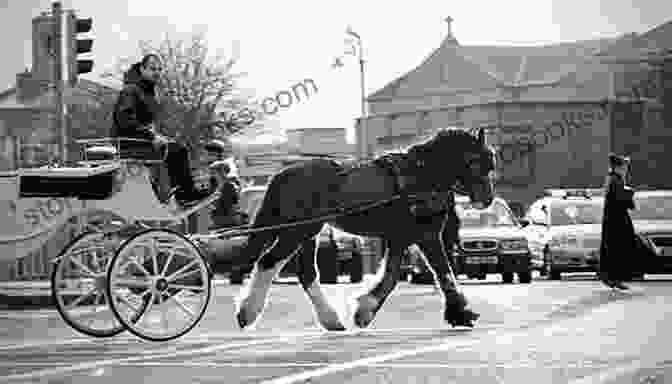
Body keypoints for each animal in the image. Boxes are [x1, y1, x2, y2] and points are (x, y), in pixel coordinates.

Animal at [235, 128, 494, 330]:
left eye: (490, 163)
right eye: (474, 160)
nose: (487, 198)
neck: (422, 174)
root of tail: (282, 174)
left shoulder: (404, 237)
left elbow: (394, 275)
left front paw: (365, 309)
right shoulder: (425, 235)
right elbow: (441, 272)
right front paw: (461, 313)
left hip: (307, 233)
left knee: (306, 274)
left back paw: (330, 319)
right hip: (299, 230)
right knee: (268, 262)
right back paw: (249, 312)